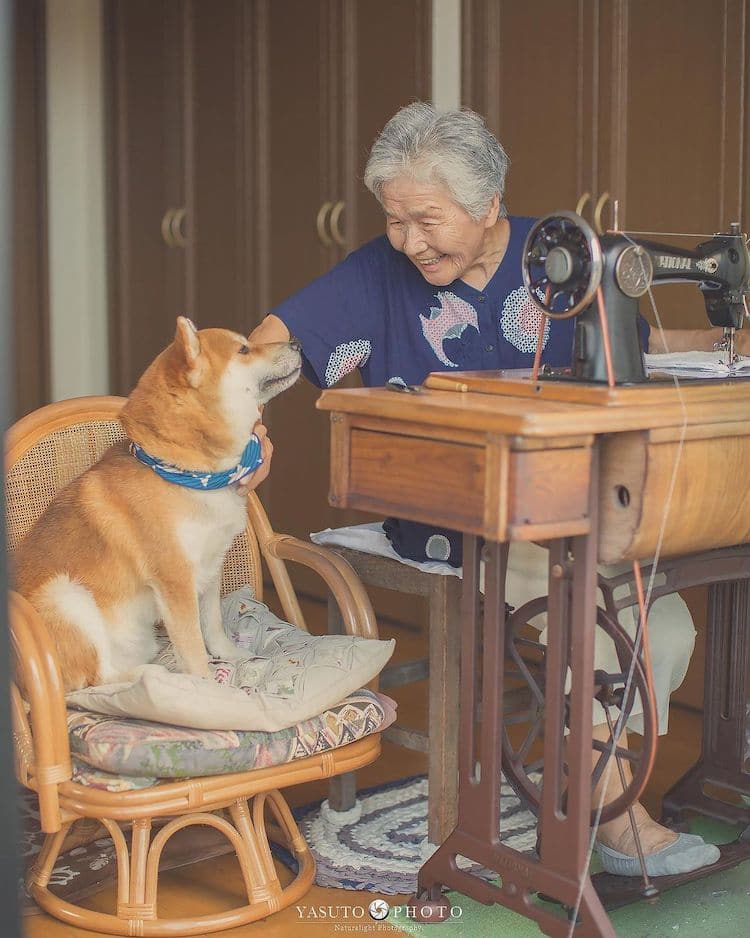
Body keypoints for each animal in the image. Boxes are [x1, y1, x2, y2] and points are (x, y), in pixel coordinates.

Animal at [12, 314, 302, 688]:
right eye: (243, 349)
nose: (296, 342)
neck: (187, 475)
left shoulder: (210, 566)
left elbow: (212, 625)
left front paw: (231, 655)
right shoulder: (175, 581)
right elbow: (193, 646)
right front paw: (207, 686)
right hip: (64, 597)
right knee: (99, 678)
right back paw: (150, 675)